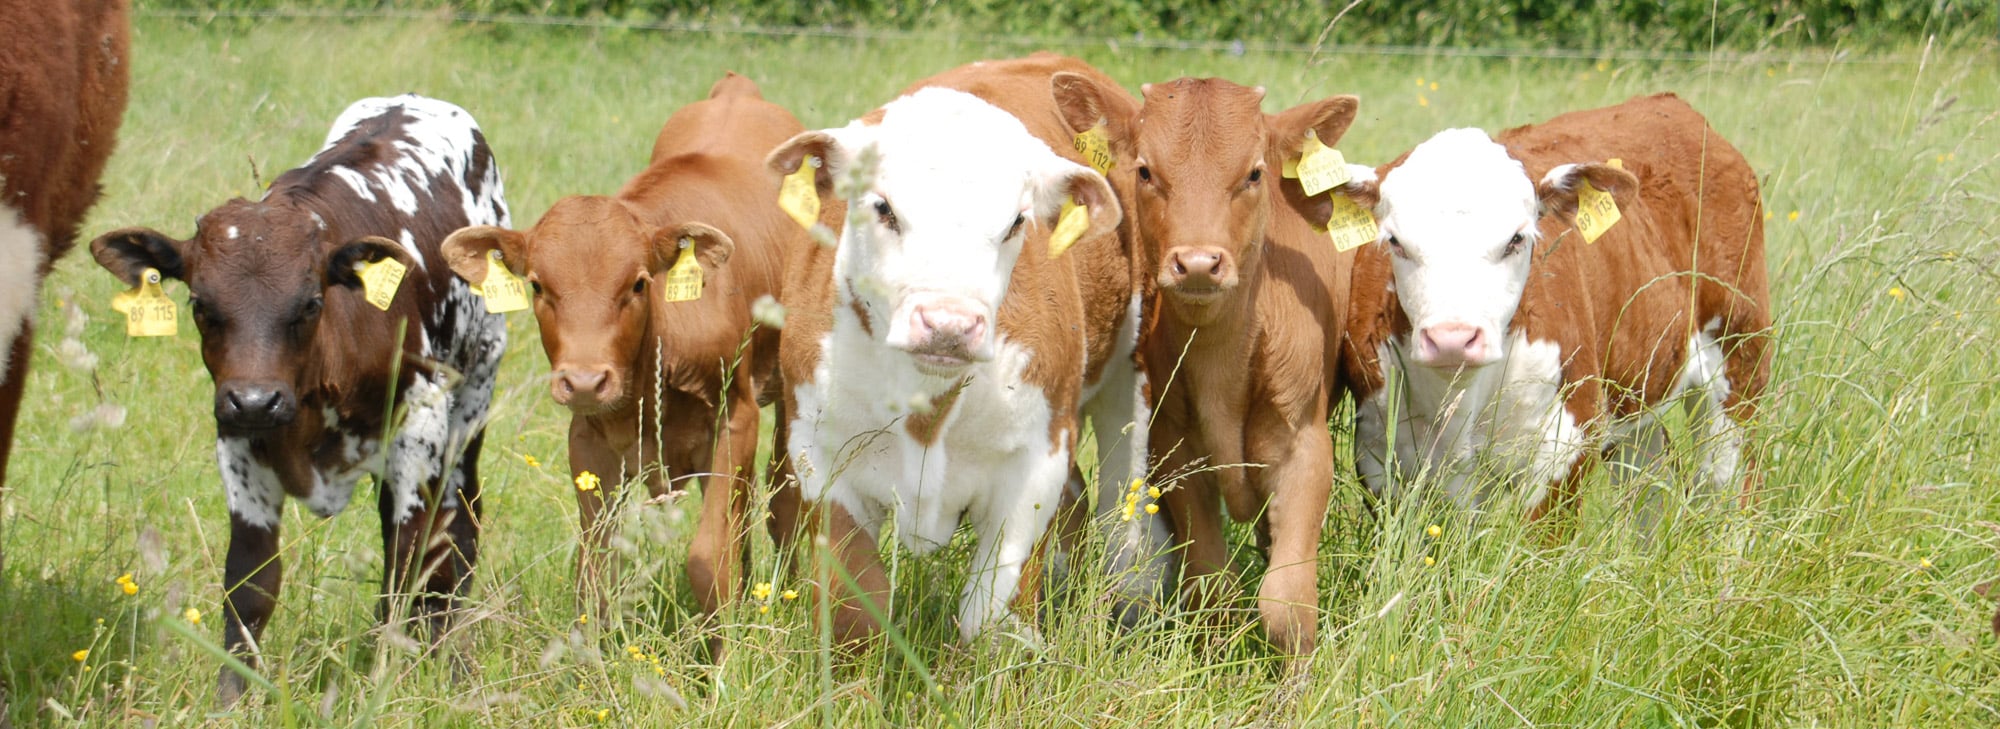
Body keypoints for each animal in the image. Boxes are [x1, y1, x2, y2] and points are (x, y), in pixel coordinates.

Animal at [95, 94, 516, 704]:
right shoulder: (238, 444)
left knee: (458, 531)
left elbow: (410, 565)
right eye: (200, 304)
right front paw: (233, 697)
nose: (255, 401)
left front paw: (388, 681)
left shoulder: (420, 432)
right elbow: (250, 583)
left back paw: (446, 652)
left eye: (312, 302)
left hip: (474, 394)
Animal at [444, 71, 804, 636]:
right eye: (538, 285)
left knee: (784, 496)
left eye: (637, 283)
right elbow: (594, 572)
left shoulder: (736, 415)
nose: (585, 380)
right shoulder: (589, 438)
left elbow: (709, 559)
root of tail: (737, 89)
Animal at [764, 57, 1144, 644]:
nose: (948, 325)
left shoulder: (1036, 466)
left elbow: (988, 618)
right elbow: (857, 613)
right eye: (883, 207)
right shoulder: (819, 455)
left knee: (1123, 509)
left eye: (1016, 222)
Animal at [1336, 94, 1776, 528]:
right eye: (1394, 241)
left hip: (1740, 359)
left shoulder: (1566, 447)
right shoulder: (1379, 459)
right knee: (1649, 476)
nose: (1452, 339)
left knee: (1729, 480)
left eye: (1516, 239)